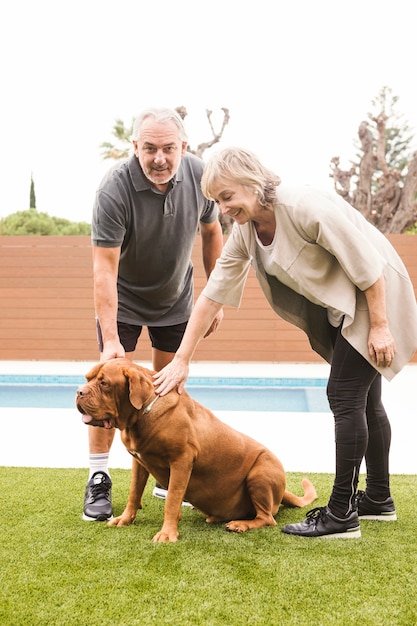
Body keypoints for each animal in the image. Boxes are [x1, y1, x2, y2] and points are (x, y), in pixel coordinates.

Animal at [75, 358, 316, 540]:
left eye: (104, 383)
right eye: (88, 379)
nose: (79, 392)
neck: (143, 413)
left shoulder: (181, 460)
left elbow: (172, 499)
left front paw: (167, 533)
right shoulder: (139, 461)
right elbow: (134, 493)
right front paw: (125, 520)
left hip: (261, 472)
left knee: (267, 518)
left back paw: (240, 524)